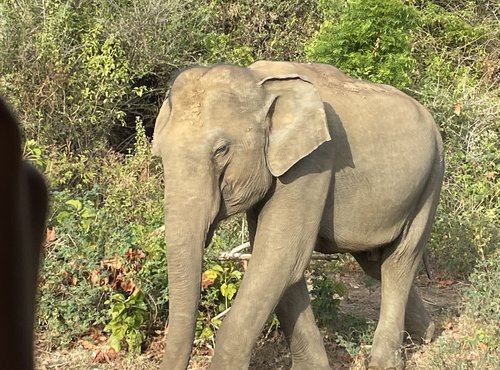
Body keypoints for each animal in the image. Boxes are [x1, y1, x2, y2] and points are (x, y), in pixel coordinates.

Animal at [151, 61, 442, 370]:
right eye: (161, 154)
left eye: (221, 150)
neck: (259, 82)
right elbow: (284, 268)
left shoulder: (311, 163)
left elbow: (280, 260)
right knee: (375, 264)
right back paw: (426, 334)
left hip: (432, 178)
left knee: (399, 261)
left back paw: (385, 361)